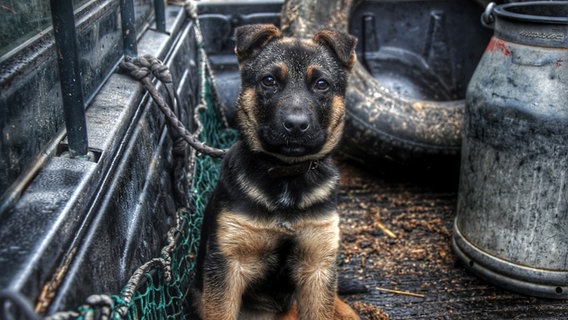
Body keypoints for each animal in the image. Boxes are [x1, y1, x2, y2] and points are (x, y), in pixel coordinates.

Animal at [190, 23, 360, 318]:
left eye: (322, 84)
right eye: (269, 81)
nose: (296, 125)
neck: (286, 176)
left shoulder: (317, 264)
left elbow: (322, 306)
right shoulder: (227, 266)